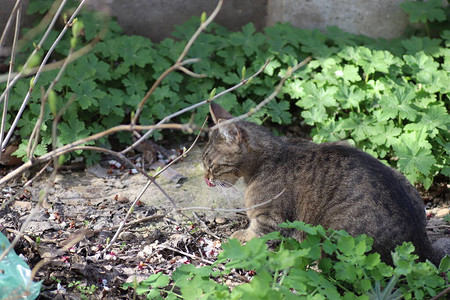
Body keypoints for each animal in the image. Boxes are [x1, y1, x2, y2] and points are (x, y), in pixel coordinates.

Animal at [203, 103, 442, 264]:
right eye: (204, 163)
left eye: (211, 165)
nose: (206, 178)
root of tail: (420, 243)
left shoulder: (270, 217)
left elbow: (256, 233)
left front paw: (239, 236)